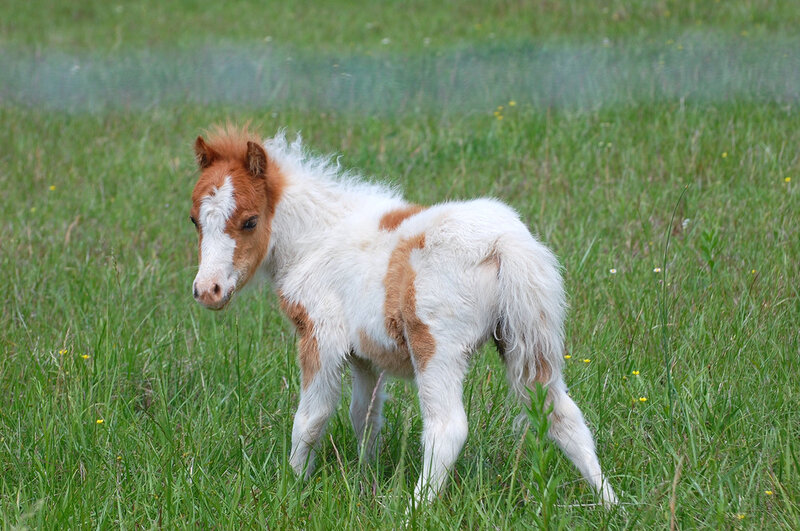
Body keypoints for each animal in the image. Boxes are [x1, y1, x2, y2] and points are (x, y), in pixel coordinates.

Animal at [188, 125, 618, 506]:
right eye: (194, 220)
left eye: (249, 221)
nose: (208, 291)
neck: (318, 239)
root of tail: (504, 241)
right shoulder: (365, 357)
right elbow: (364, 417)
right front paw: (365, 480)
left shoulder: (320, 337)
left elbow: (311, 418)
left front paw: (291, 489)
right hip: (526, 338)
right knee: (563, 415)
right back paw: (610, 503)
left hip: (436, 347)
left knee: (447, 428)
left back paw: (415, 508)